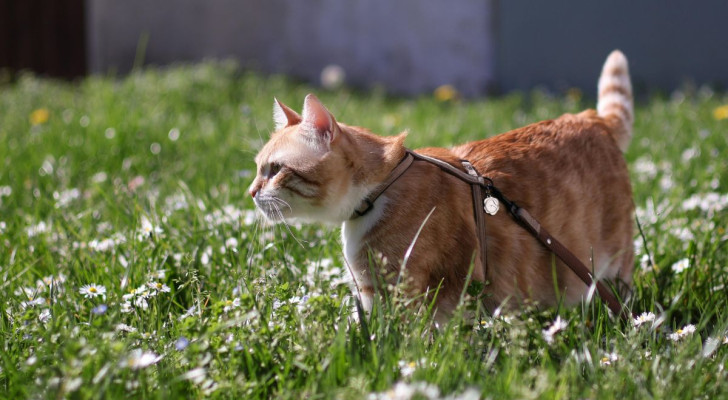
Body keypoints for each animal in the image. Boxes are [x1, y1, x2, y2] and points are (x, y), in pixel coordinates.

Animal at [249, 50, 632, 318]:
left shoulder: (409, 286)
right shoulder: (372, 289)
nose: (250, 192)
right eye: (256, 168)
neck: (380, 190)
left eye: (275, 169)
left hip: (612, 260)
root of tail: (592, 118)